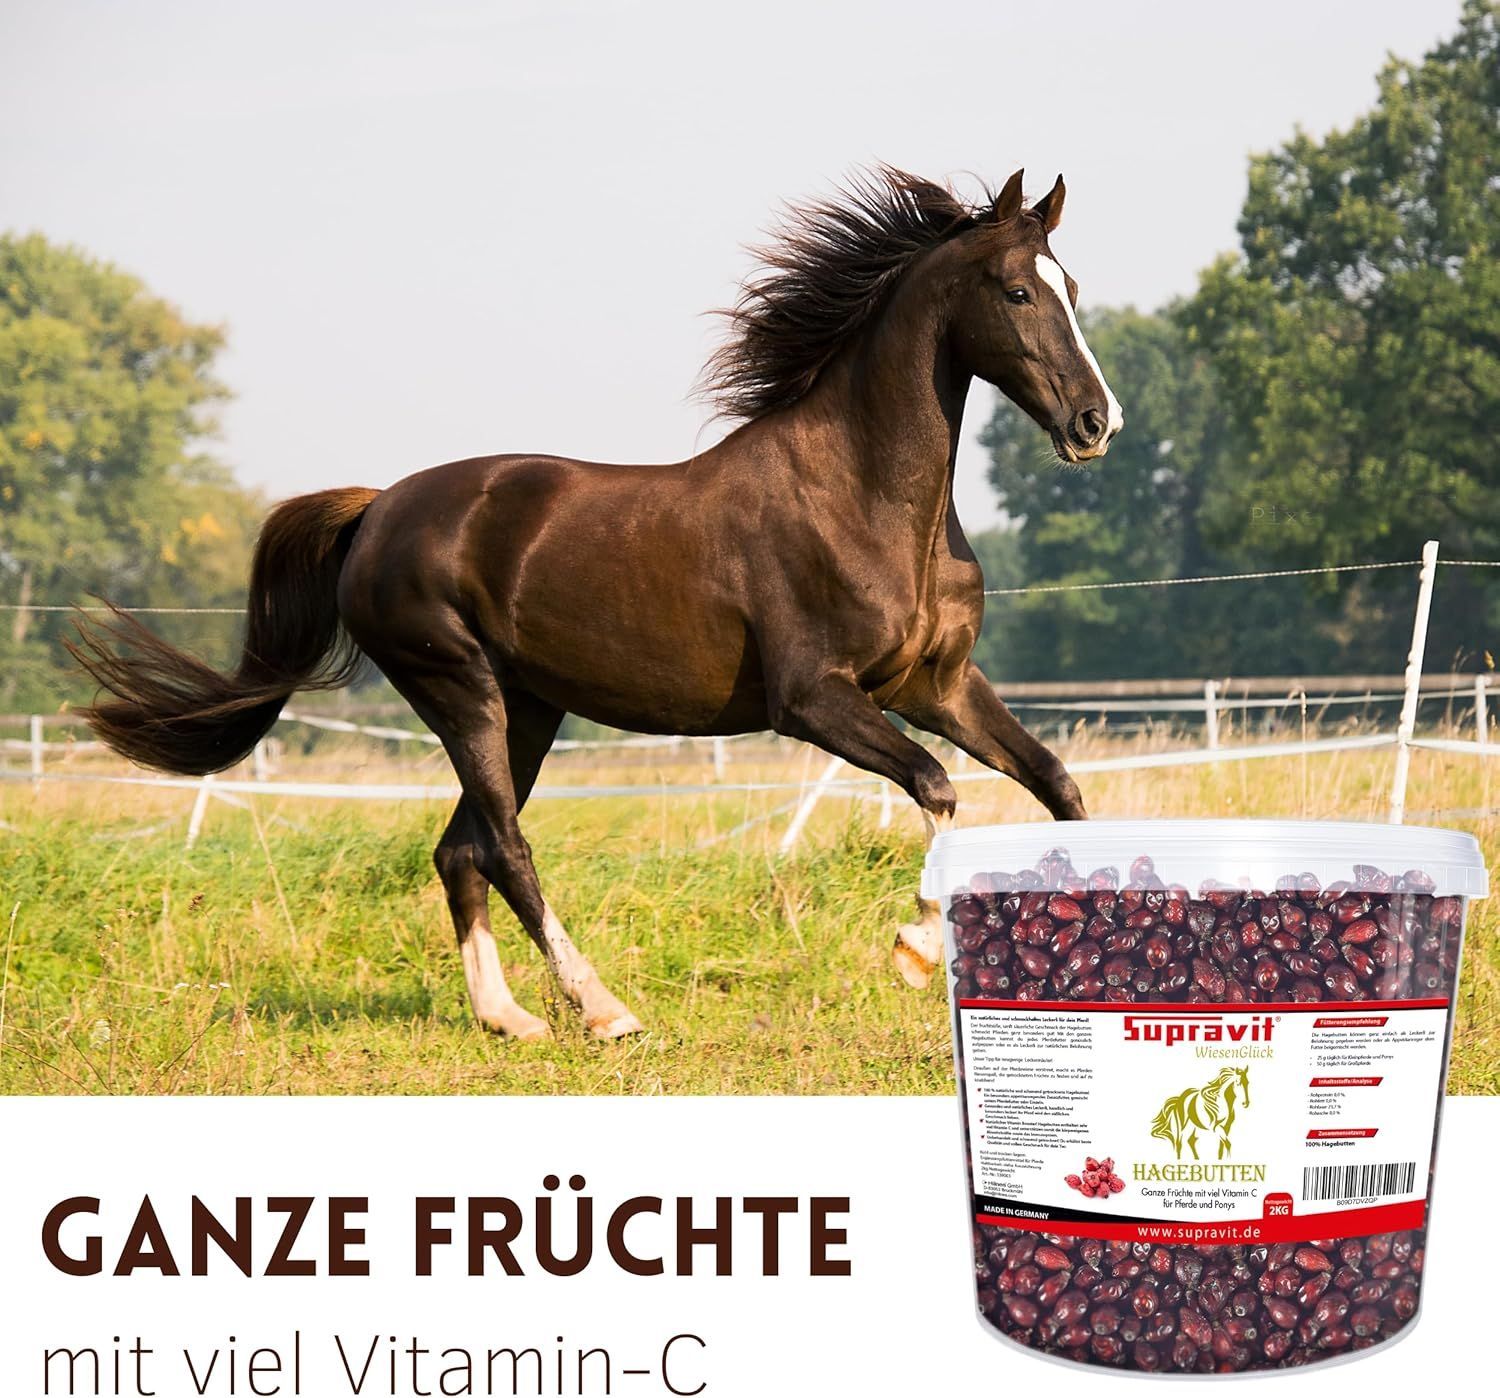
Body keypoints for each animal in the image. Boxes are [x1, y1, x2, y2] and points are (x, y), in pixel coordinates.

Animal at [69, 166, 1122, 1042]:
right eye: (1018, 290)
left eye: (1073, 288)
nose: (1095, 423)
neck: (862, 495)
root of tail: (377, 510)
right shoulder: (813, 700)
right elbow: (939, 787)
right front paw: (915, 948)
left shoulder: (936, 686)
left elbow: (1058, 786)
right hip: (460, 691)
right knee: (505, 848)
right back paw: (603, 1010)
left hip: (528, 709)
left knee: (459, 851)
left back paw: (508, 1019)